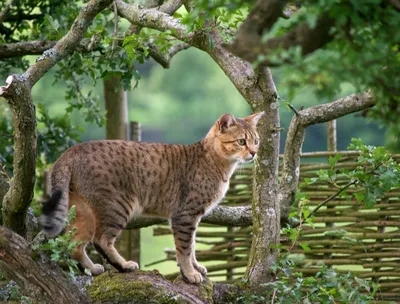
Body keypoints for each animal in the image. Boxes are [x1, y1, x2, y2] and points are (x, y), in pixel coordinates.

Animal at [40, 113, 264, 284]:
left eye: (256, 140)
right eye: (241, 141)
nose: (254, 153)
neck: (215, 162)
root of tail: (71, 150)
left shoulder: (194, 217)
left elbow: (191, 247)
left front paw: (196, 267)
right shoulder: (185, 215)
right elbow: (184, 249)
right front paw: (190, 273)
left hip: (84, 212)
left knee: (73, 243)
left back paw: (94, 269)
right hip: (117, 206)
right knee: (100, 240)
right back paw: (124, 265)